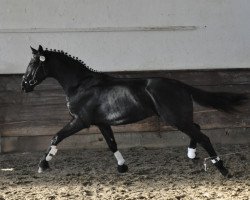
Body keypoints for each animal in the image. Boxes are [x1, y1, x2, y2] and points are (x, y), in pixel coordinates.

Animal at [22, 45, 248, 177]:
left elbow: (56, 137)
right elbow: (111, 144)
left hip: (175, 119)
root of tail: (180, 85)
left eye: (33, 63)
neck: (81, 85)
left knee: (204, 136)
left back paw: (223, 169)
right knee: (198, 129)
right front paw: (122, 166)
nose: (24, 85)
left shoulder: (80, 121)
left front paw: (43, 164)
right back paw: (192, 155)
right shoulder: (102, 123)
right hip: (180, 118)